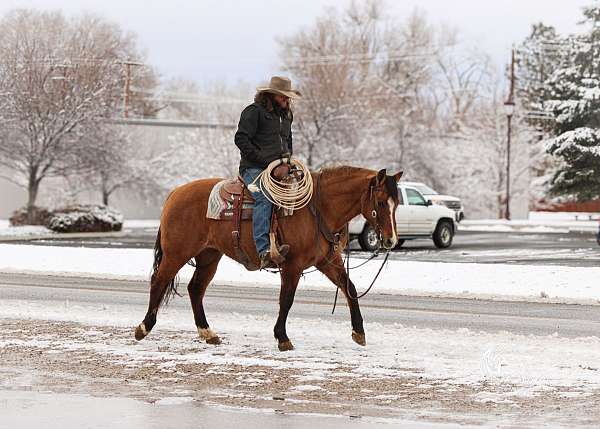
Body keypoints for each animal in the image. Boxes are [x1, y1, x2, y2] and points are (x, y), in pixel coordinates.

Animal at [136, 166, 404, 350]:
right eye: (381, 202)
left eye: (397, 204)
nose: (391, 240)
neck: (319, 208)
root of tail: (175, 193)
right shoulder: (293, 265)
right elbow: (286, 299)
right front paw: (282, 337)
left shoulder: (327, 262)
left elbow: (350, 288)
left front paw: (359, 332)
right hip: (177, 253)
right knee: (159, 281)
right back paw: (143, 327)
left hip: (209, 256)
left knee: (195, 288)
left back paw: (207, 332)